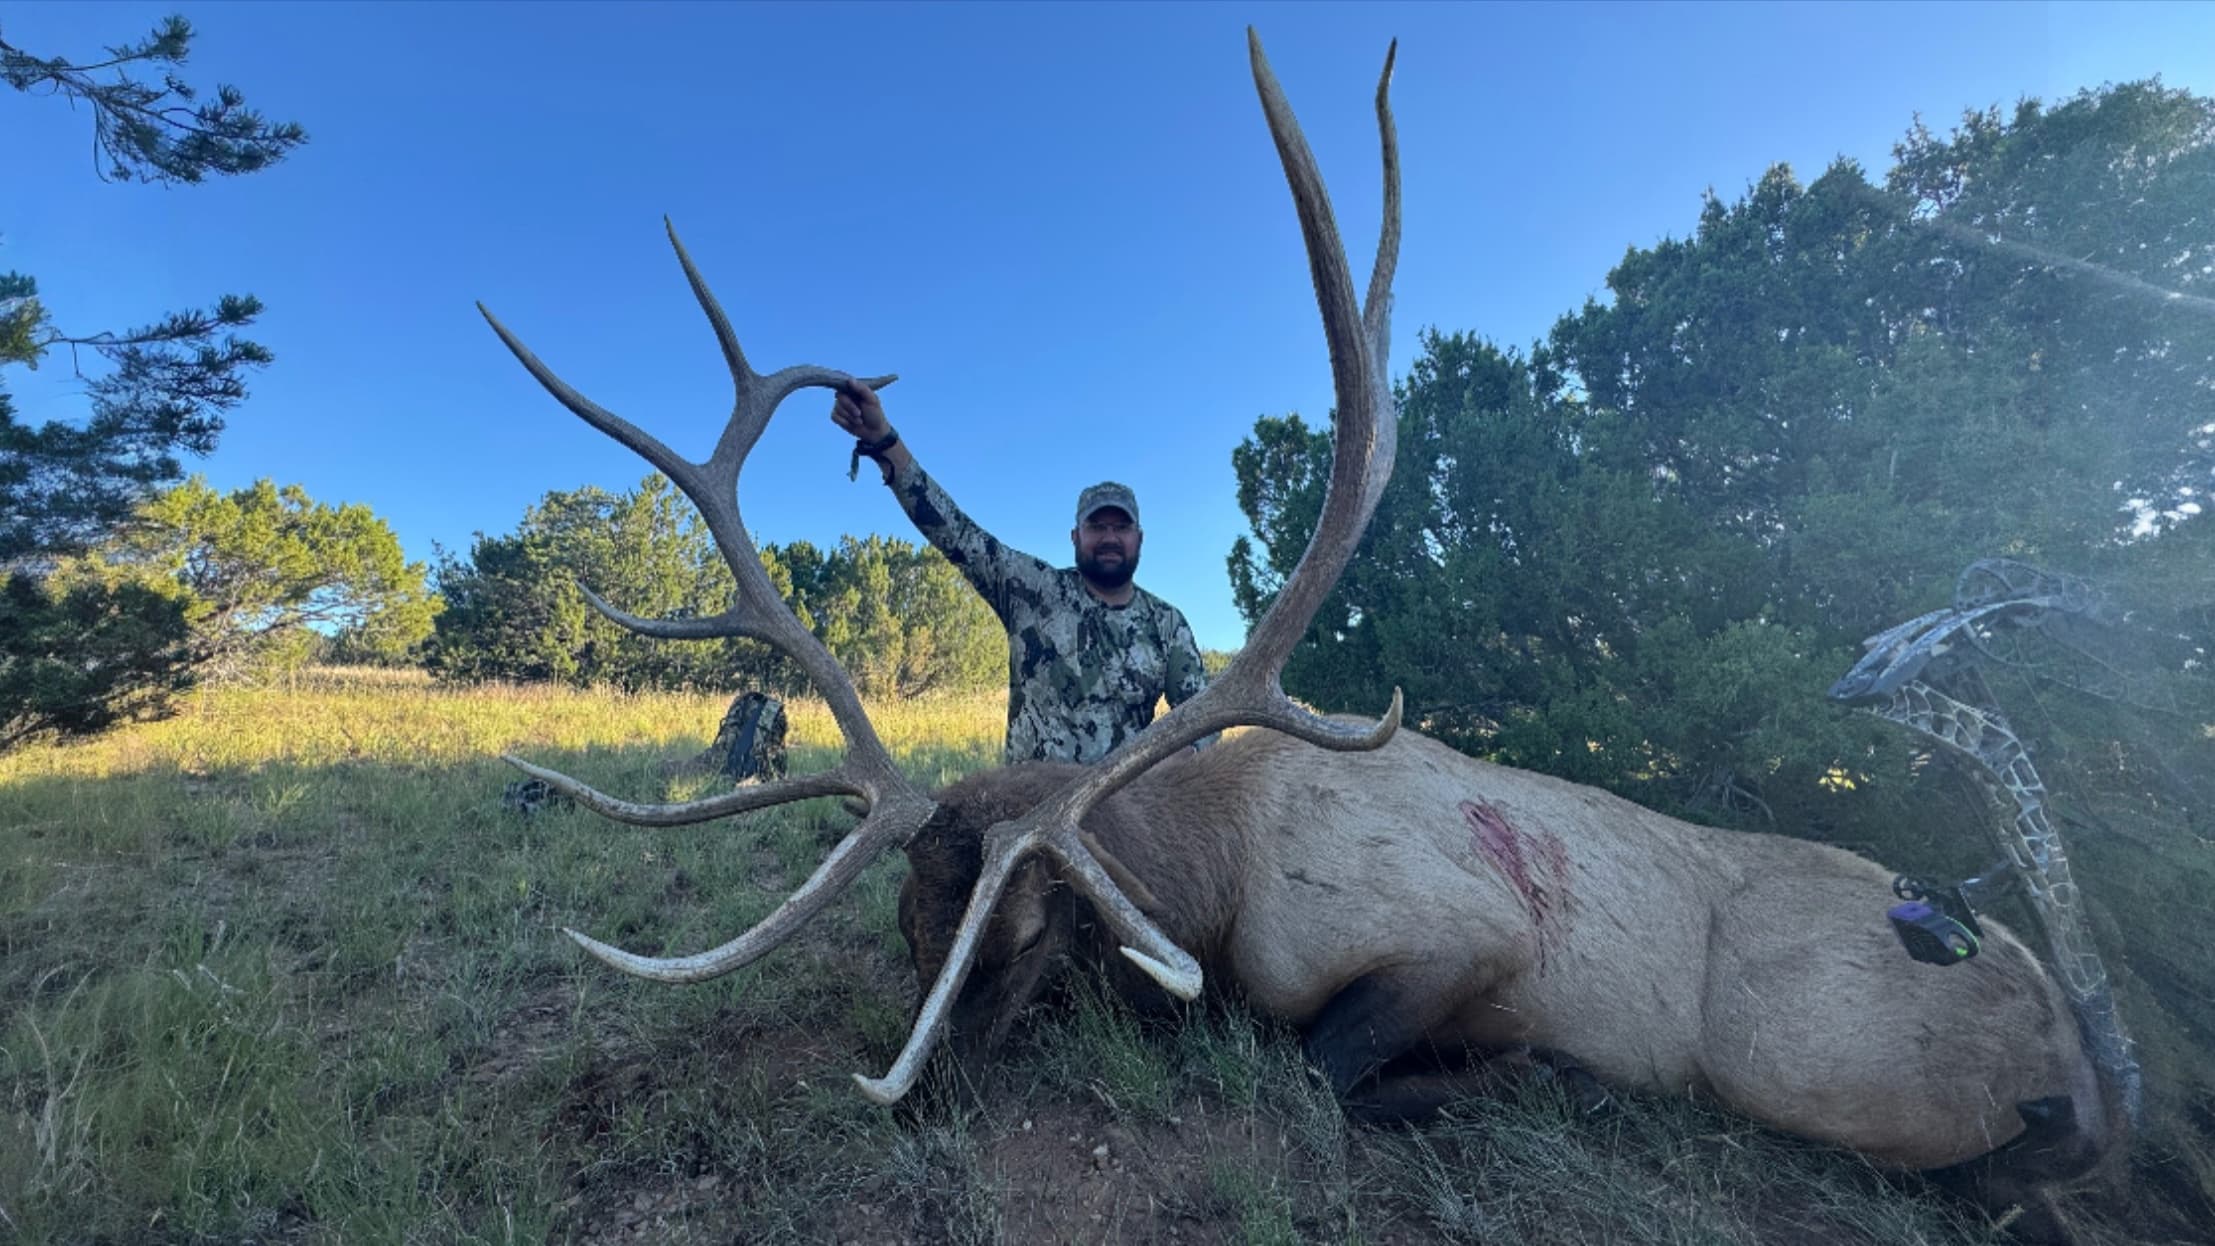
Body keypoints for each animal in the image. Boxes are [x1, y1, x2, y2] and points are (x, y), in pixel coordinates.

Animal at [476, 28, 2127, 1235]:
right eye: (906, 930)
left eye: (1022, 940)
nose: (919, 1102)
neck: (1213, 876)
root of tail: (2057, 1008)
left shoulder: (1460, 934)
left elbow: (1310, 1067)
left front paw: (1515, 1079)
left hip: (1816, 1055)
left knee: (2021, 1158)